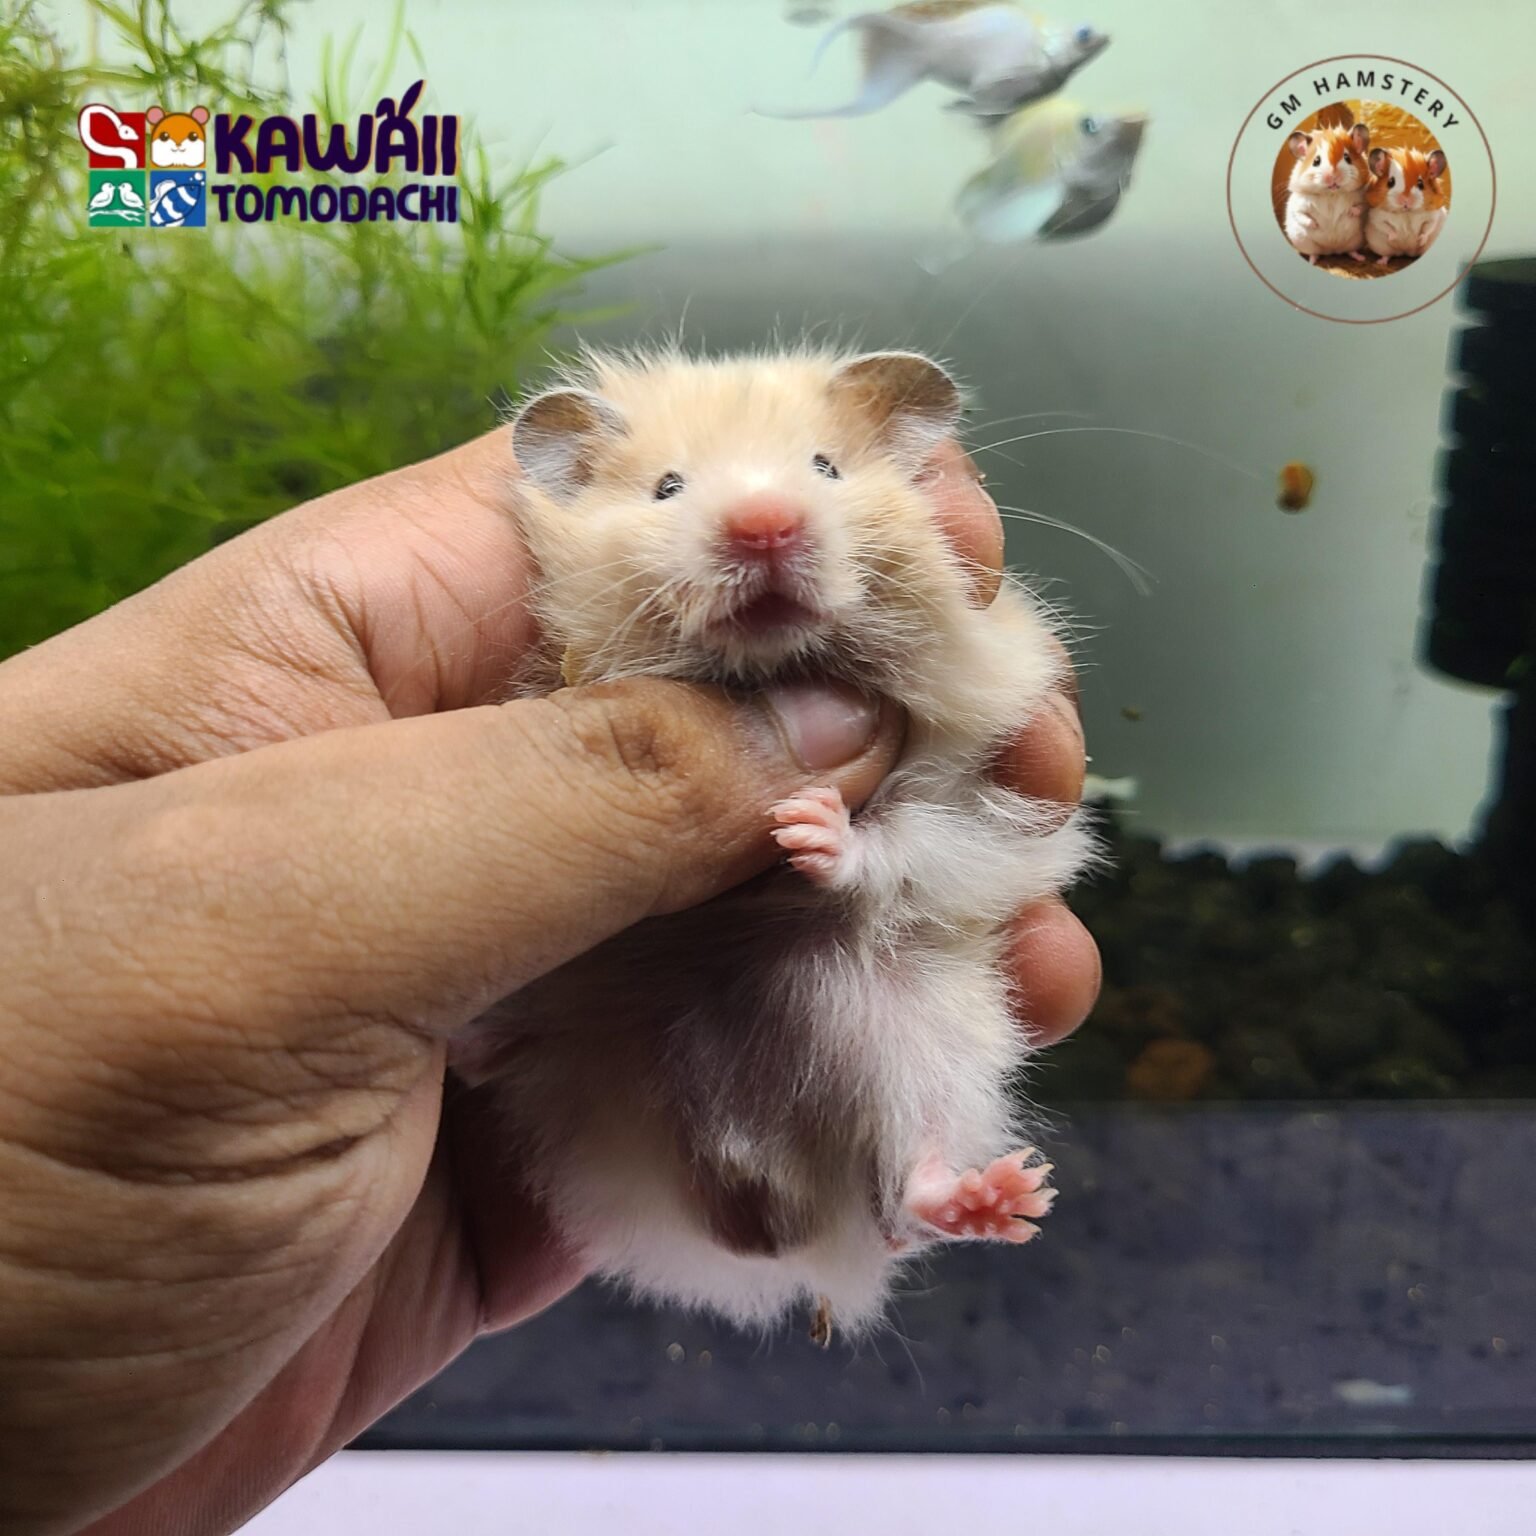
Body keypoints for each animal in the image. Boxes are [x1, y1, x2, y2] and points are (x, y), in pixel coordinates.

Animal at [453, 347, 1093, 1338]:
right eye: (668, 488)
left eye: (826, 467)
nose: (764, 524)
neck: (773, 667)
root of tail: (781, 1208)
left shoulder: (982, 788)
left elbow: (897, 841)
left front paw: (808, 827)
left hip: (932, 1043)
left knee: (907, 1197)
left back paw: (1006, 1198)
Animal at [1283, 123, 1371, 265]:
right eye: (1316, 161)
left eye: (1347, 158)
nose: (1333, 176)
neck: (1331, 194)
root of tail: (1332, 250)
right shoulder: (1298, 205)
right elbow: (1302, 215)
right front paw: (1315, 225)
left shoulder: (1364, 198)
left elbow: (1361, 207)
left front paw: (1351, 212)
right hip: (1304, 242)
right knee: (1314, 253)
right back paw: (1312, 261)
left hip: (1356, 241)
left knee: (1351, 251)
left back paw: (1360, 258)